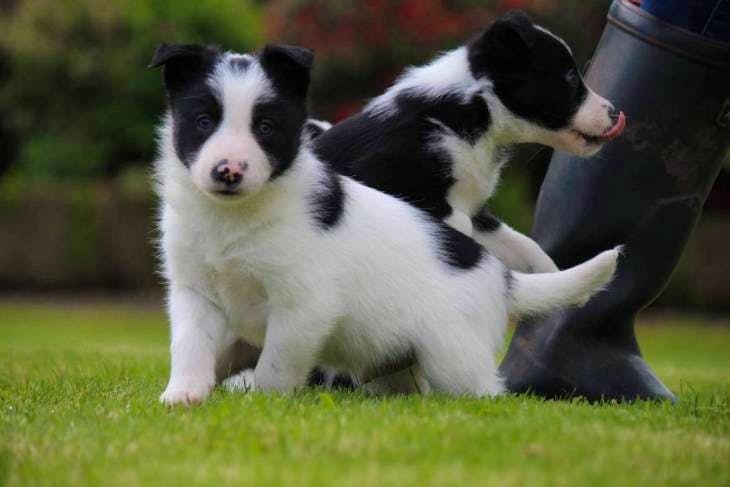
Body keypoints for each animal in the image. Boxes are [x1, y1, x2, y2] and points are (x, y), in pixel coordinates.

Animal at [151, 43, 616, 408]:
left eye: (264, 127)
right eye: (203, 122)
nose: (228, 171)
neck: (232, 218)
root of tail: (502, 277)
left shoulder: (303, 307)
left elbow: (276, 366)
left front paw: (264, 402)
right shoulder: (194, 293)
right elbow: (190, 345)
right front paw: (184, 394)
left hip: (453, 359)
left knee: (489, 394)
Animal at [310, 11, 624, 276]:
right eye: (570, 77)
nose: (614, 112)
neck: (474, 115)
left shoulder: (476, 208)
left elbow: (528, 248)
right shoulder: (378, 176)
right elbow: (459, 223)